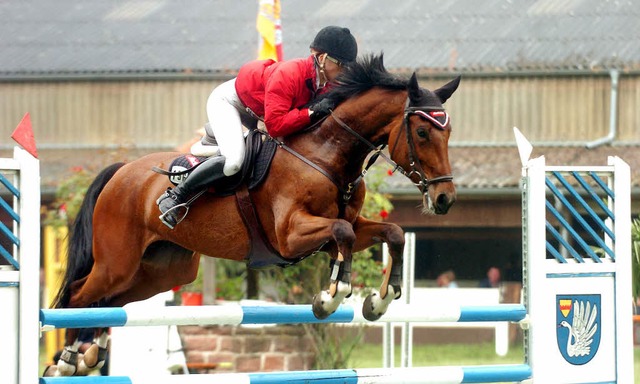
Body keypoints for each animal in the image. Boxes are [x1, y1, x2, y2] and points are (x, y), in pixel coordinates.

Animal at [46, 54, 460, 376]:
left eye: (449, 131)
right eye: (422, 132)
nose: (444, 199)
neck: (327, 153)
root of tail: (121, 171)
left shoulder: (344, 231)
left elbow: (391, 232)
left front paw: (379, 300)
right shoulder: (290, 236)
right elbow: (341, 232)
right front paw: (331, 297)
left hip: (163, 271)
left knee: (111, 301)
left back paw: (91, 354)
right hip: (117, 261)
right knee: (80, 294)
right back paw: (67, 359)